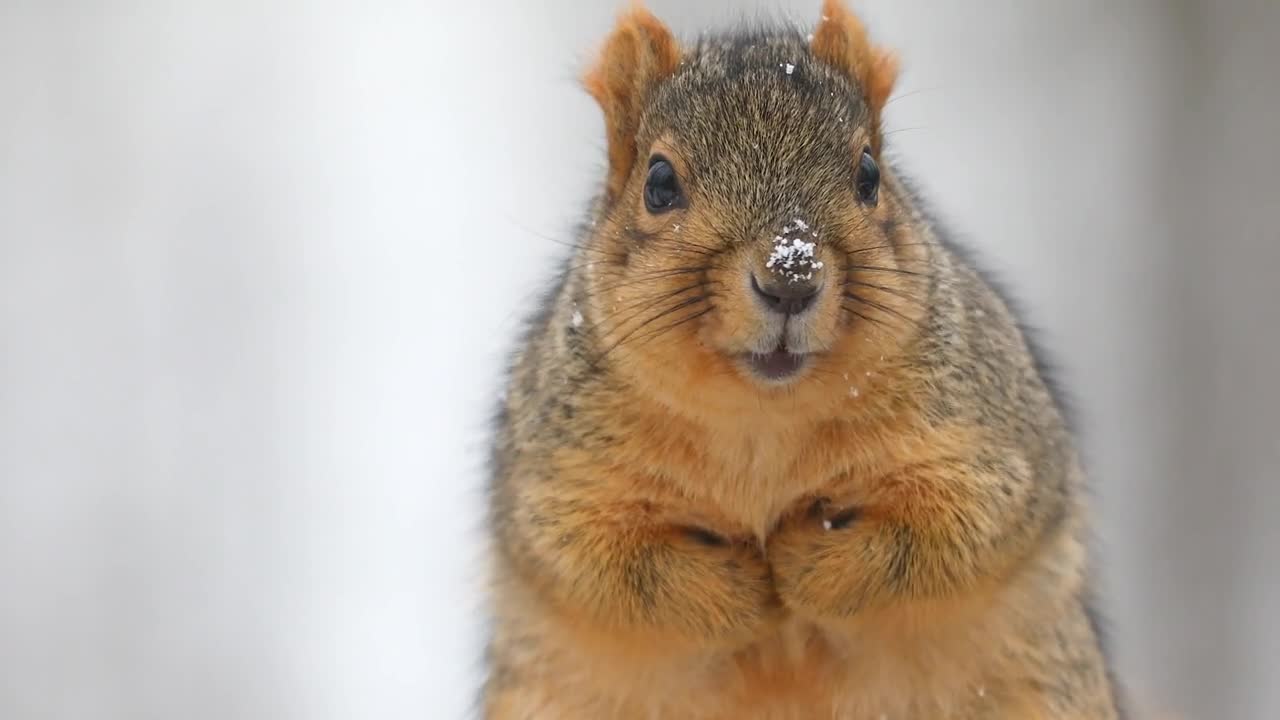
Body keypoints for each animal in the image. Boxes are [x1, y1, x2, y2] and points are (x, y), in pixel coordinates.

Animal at [483, 2, 1126, 712]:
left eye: (869, 175)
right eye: (658, 183)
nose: (791, 276)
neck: (763, 416)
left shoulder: (988, 438)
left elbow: (954, 530)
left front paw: (800, 563)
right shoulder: (562, 475)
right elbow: (599, 563)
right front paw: (745, 588)